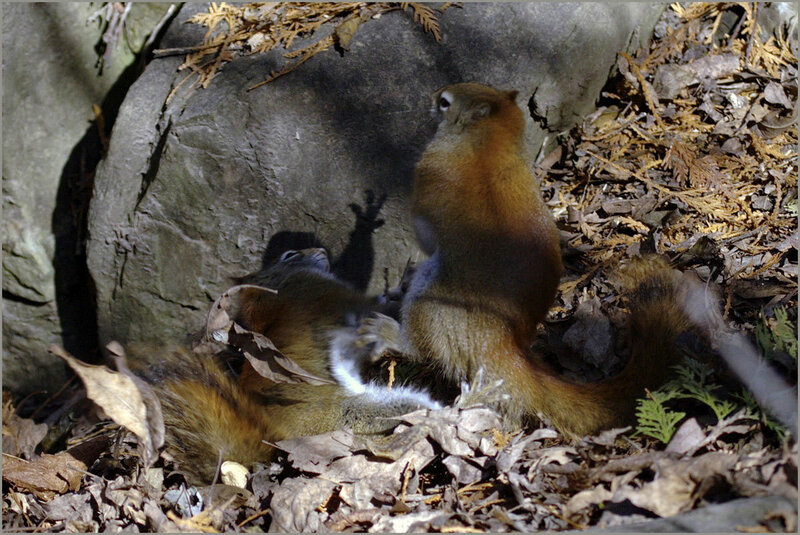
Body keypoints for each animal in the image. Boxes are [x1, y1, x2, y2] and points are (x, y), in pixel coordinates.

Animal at [357, 82, 691, 437]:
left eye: (446, 103)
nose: (433, 97)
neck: (490, 144)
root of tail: (504, 343)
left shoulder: (431, 177)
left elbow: (424, 234)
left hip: (429, 301)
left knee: (422, 347)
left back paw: (390, 332)